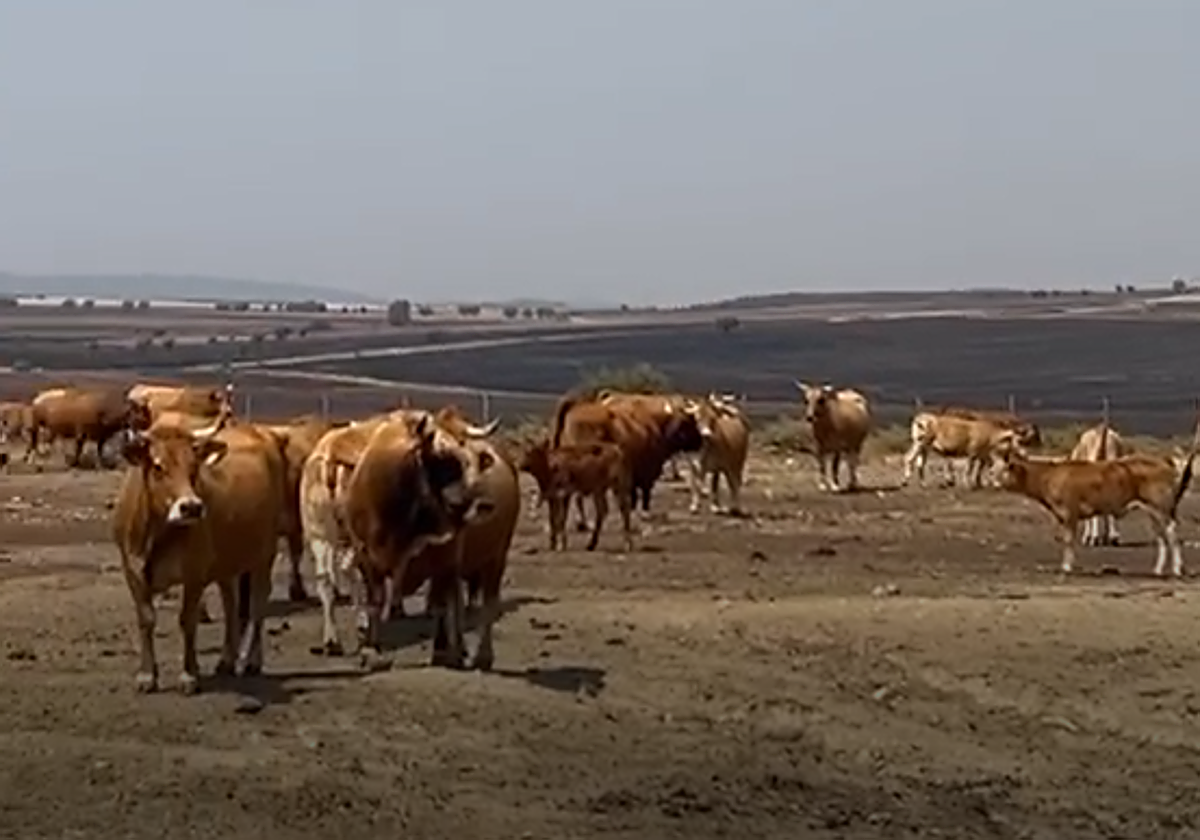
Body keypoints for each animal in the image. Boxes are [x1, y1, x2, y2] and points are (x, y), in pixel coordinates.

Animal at [110, 412, 288, 694]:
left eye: (194, 468)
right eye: (158, 466)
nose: (191, 507)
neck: (156, 533)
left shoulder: (194, 573)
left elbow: (188, 620)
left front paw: (189, 675)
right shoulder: (132, 570)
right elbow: (146, 618)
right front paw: (147, 675)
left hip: (265, 554)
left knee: (258, 604)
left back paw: (251, 660)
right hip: (227, 562)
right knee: (230, 603)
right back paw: (226, 659)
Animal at [995, 423, 1200, 576]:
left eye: (1002, 469)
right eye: (993, 467)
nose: (993, 481)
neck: (1050, 475)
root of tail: (1165, 465)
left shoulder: (1069, 513)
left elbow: (1069, 541)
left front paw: (1067, 566)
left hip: (1161, 508)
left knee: (1172, 534)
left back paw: (1177, 569)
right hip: (1153, 512)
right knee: (1161, 537)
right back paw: (1158, 569)